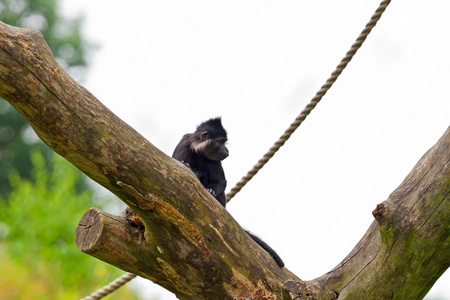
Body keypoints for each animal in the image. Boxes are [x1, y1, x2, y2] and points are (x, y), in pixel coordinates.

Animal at [172, 117, 284, 268]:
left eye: (225, 142)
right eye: (220, 141)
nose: (226, 149)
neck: (199, 151)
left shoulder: (213, 159)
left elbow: (221, 182)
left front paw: (211, 191)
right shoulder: (184, 145)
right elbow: (179, 165)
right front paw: (190, 169)